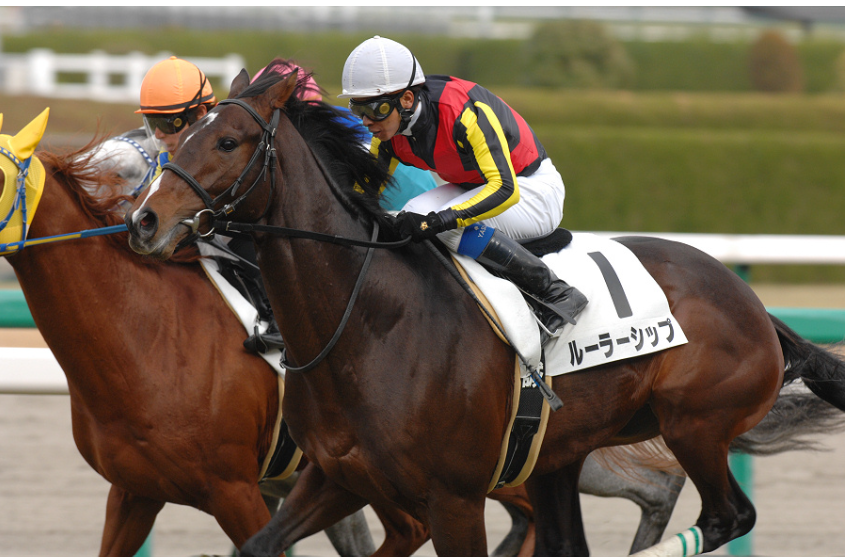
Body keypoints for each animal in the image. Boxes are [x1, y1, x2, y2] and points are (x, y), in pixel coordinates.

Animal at [124, 65, 845, 557]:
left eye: (229, 141)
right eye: (183, 135)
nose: (145, 220)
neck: (368, 324)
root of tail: (750, 302)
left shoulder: (454, 498)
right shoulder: (335, 475)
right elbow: (260, 543)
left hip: (695, 425)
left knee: (728, 516)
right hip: (560, 453)